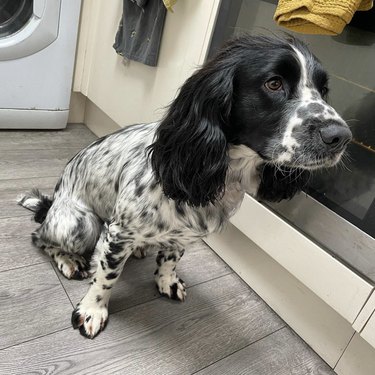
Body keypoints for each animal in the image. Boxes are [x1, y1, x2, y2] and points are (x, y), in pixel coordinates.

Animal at [17, 36, 352, 340]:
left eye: (324, 90)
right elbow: (107, 276)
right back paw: (69, 260)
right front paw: (92, 309)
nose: (341, 137)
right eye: (273, 83)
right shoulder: (119, 233)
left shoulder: (184, 231)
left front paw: (167, 281)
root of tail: (52, 203)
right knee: (41, 238)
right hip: (80, 222)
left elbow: (171, 257)